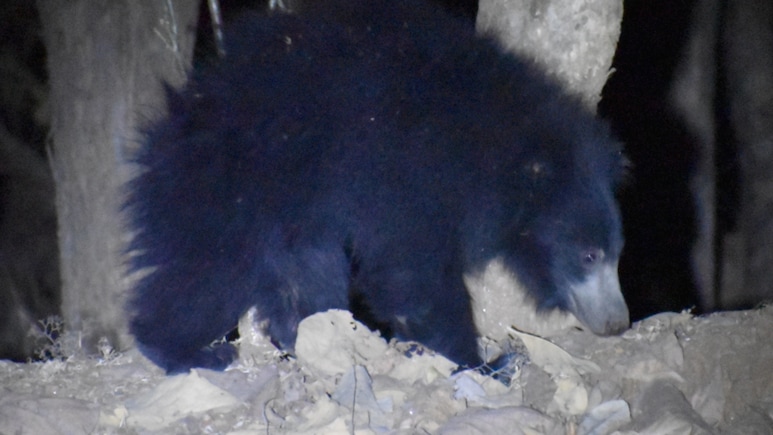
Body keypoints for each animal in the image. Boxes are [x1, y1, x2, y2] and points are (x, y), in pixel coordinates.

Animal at [125, 0, 629, 376]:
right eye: (588, 255)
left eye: (617, 253)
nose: (617, 323)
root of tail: (172, 125)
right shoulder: (407, 172)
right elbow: (410, 270)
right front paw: (484, 363)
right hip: (234, 185)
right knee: (207, 270)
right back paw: (187, 350)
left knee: (305, 271)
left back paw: (304, 336)